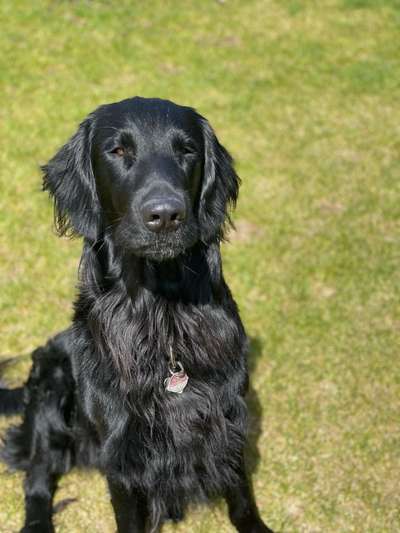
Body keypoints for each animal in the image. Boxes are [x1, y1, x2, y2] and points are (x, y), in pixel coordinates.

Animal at [0, 96, 272, 532]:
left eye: (187, 151)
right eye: (118, 151)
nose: (165, 215)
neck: (162, 320)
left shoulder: (229, 416)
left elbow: (242, 496)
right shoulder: (122, 449)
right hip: (50, 391)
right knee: (38, 478)